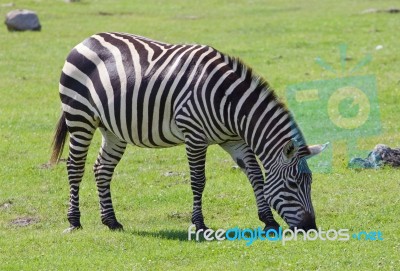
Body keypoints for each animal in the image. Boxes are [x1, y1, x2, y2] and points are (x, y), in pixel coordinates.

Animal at [50, 32, 328, 234]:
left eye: (310, 183)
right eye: (293, 184)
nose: (310, 228)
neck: (229, 104)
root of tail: (87, 39)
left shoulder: (234, 140)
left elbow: (256, 176)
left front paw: (269, 221)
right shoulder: (195, 135)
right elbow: (198, 180)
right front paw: (199, 224)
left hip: (113, 129)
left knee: (102, 169)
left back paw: (111, 221)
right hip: (80, 116)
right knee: (75, 167)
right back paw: (74, 221)